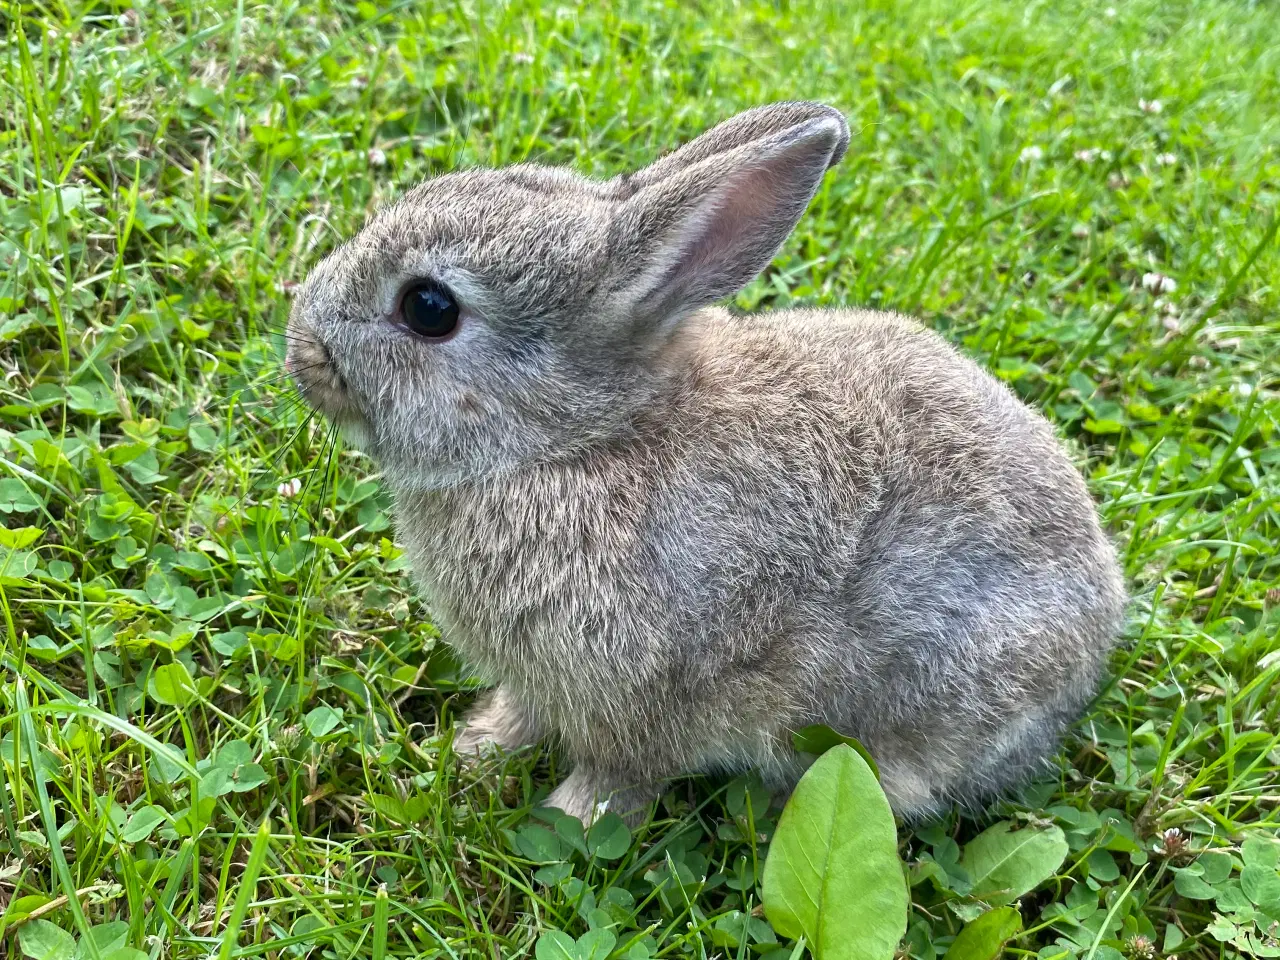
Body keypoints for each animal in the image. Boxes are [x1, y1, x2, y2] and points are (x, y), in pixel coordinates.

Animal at [285, 103, 1126, 829]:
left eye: (428, 308)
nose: (301, 349)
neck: (579, 441)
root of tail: (1100, 631)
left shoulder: (645, 697)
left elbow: (622, 777)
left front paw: (567, 819)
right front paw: (477, 747)